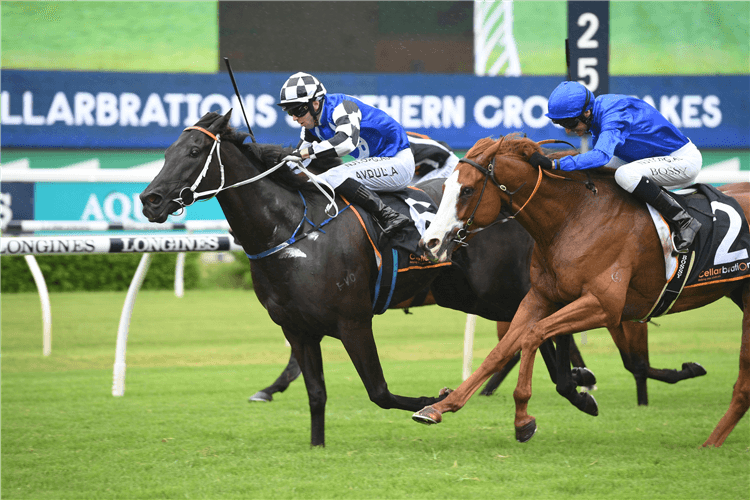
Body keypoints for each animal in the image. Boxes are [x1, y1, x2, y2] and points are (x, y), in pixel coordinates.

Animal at [418, 135, 750, 448]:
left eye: (467, 190)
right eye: (445, 186)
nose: (429, 242)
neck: (573, 218)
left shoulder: (604, 305)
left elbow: (533, 335)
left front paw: (523, 418)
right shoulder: (541, 297)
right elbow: (500, 351)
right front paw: (440, 406)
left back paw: (710, 440)